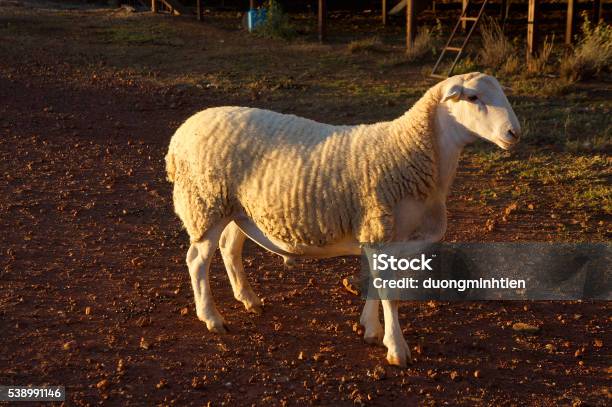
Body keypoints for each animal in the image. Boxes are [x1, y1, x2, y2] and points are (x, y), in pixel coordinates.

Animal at [164, 71, 520, 368]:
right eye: (473, 97)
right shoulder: (379, 229)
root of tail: (181, 133)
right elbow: (389, 294)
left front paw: (371, 329)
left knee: (229, 249)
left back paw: (249, 299)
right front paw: (396, 349)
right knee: (197, 260)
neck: (413, 152)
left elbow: (376, 285)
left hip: (238, 209)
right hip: (205, 203)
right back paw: (212, 318)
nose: (514, 132)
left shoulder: (384, 236)